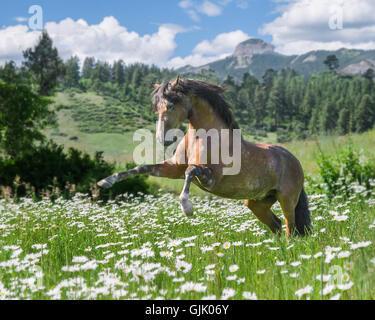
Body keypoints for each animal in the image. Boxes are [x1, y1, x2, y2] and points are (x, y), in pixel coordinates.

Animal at [97, 77, 312, 238]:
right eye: (156, 107)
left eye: (171, 105)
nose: (162, 139)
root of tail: (294, 161)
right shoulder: (173, 168)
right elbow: (141, 168)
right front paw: (105, 182)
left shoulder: (210, 178)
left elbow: (191, 171)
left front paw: (187, 208)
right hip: (257, 202)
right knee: (277, 225)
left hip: (287, 199)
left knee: (291, 229)